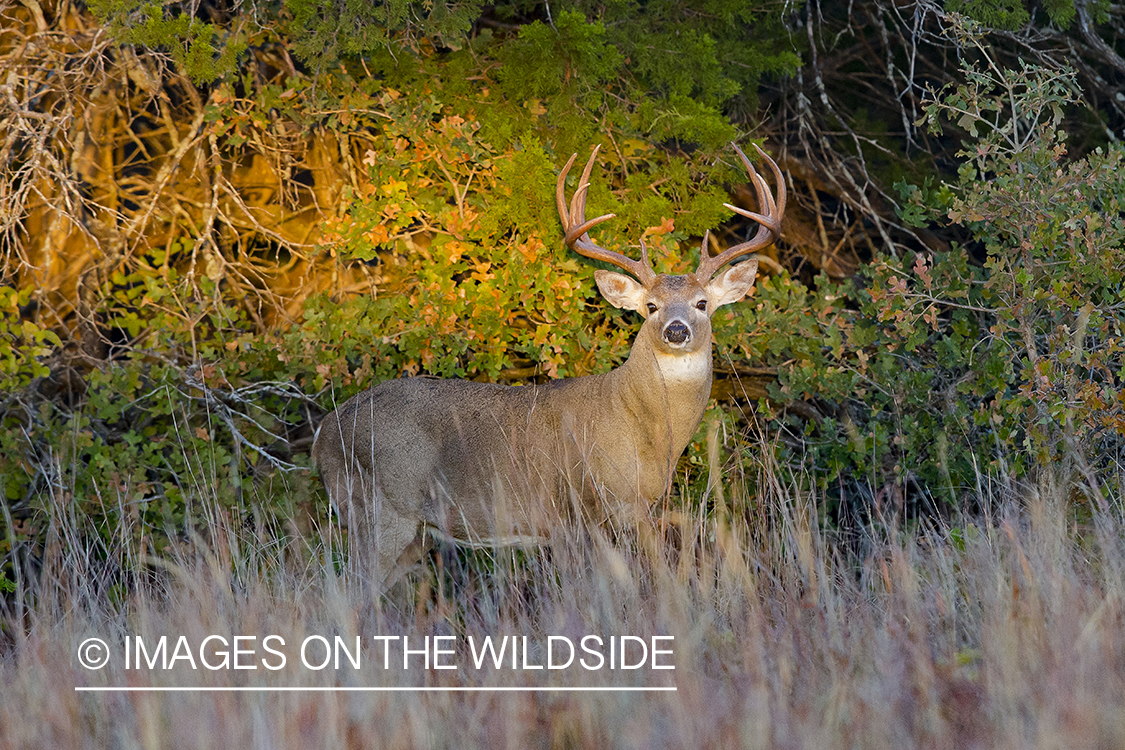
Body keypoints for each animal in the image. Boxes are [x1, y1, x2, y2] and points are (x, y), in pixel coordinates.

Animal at [308, 139, 783, 584]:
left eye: (702, 303)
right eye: (650, 306)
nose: (677, 330)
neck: (641, 427)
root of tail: (324, 431)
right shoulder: (575, 512)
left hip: (411, 533)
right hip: (381, 511)